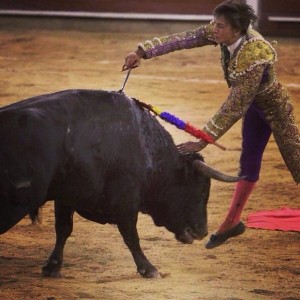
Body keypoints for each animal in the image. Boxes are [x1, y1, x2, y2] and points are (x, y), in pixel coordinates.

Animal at [0, 89, 240, 278]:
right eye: (200, 192)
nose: (203, 231)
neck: (146, 147)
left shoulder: (66, 196)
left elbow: (63, 229)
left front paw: (52, 267)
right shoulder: (126, 200)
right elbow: (131, 235)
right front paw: (149, 269)